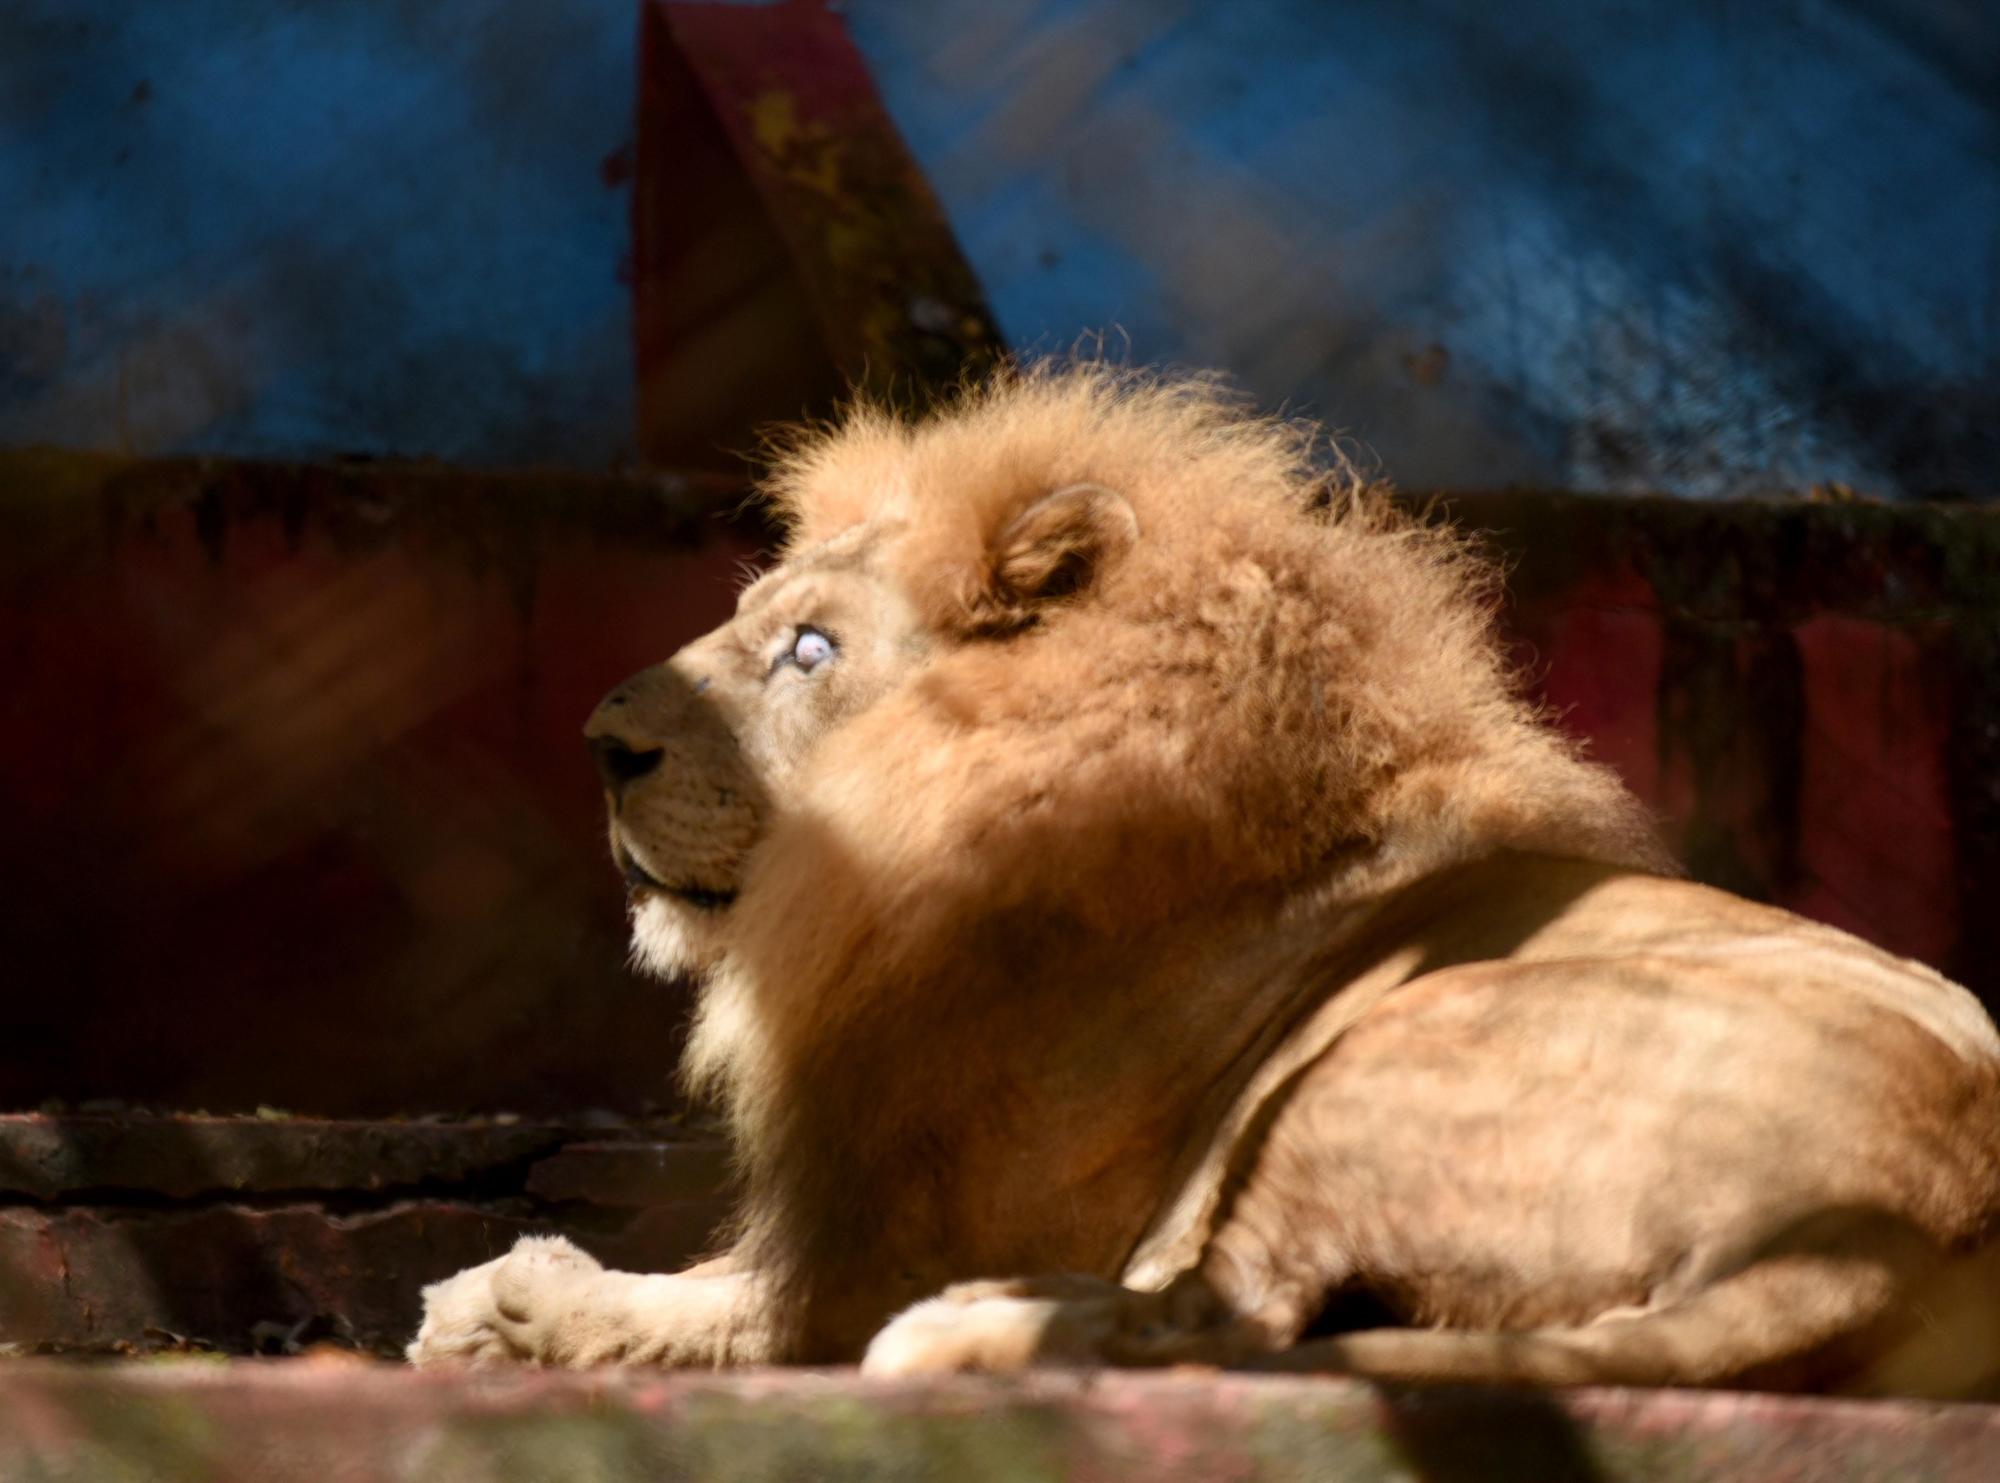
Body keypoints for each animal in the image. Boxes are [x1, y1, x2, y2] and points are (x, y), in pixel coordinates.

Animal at [409, 366, 2000, 1393]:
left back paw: (968, 1336)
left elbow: (717, 1306)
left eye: (811, 649)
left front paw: (523, 1302)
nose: (600, 743)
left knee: (1222, 1323)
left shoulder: (886, 1242)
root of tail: (1902, 1210)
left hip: (1381, 1049)